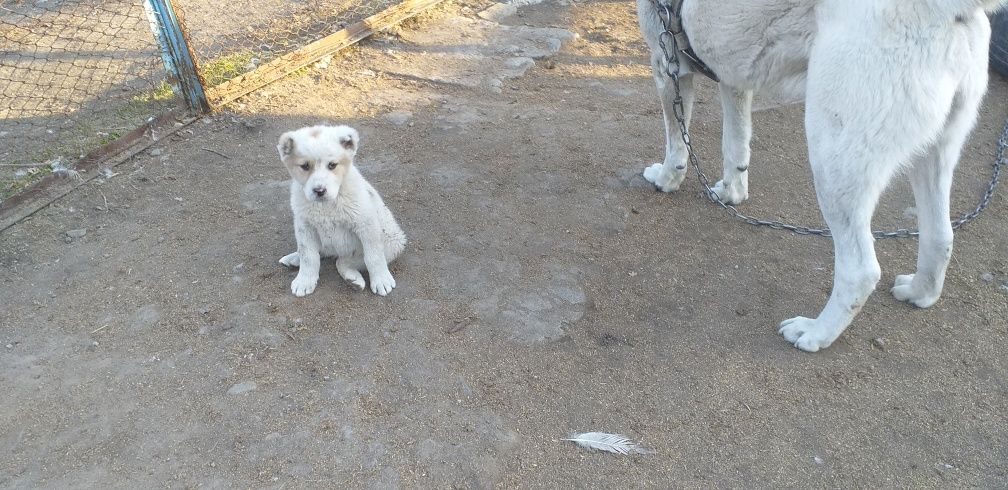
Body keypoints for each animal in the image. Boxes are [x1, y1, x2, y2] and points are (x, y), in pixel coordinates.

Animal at [276, 124, 405, 296]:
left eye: (332, 165)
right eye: (305, 166)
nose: (319, 190)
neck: (327, 204)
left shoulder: (366, 225)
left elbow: (374, 256)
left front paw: (381, 280)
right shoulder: (305, 227)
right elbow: (308, 256)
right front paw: (304, 280)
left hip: (391, 242)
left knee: (343, 261)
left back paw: (353, 279)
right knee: (318, 254)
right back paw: (294, 259)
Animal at [637, 0, 1008, 352]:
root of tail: (946, 9)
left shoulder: (667, 62)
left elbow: (676, 142)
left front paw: (666, 179)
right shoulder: (734, 78)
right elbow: (735, 144)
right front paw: (731, 192)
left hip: (833, 163)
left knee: (860, 270)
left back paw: (816, 332)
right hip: (935, 153)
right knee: (940, 235)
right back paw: (919, 292)